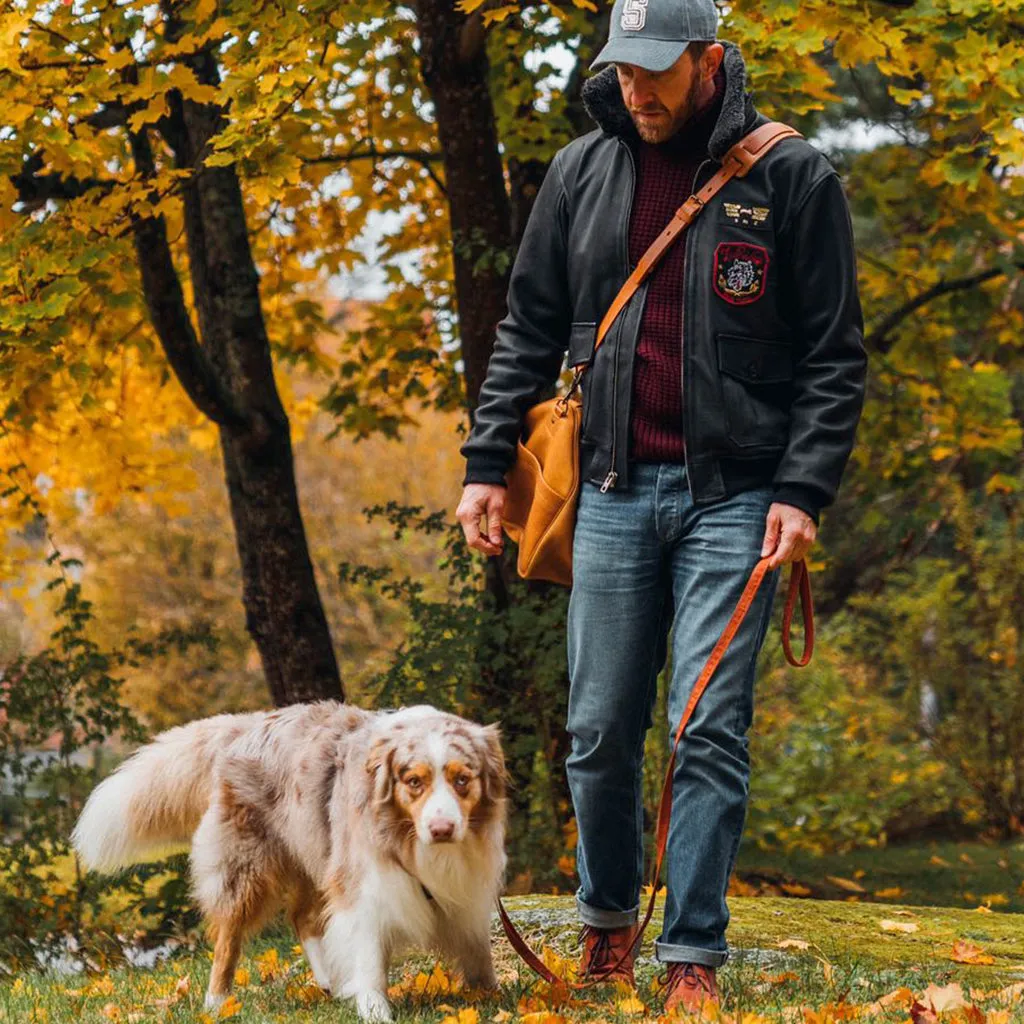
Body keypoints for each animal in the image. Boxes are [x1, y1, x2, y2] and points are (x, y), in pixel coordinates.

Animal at [70, 700, 509, 1019]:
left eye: (462, 779)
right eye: (413, 781)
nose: (442, 828)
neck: (409, 838)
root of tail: (245, 724)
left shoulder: (467, 890)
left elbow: (477, 951)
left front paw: (493, 998)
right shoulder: (364, 884)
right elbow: (368, 954)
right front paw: (375, 1010)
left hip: (312, 853)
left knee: (301, 917)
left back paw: (329, 980)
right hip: (247, 867)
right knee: (229, 937)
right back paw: (216, 1003)